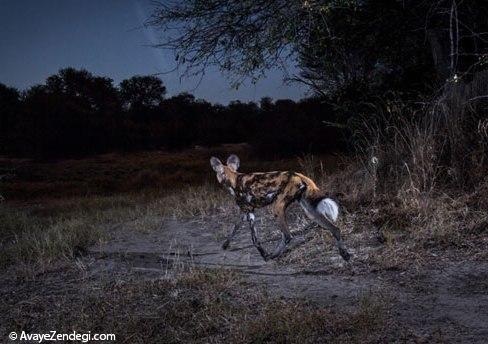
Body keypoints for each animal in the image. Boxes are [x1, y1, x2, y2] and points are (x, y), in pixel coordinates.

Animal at [210, 155, 350, 262]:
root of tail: (298, 175)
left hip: (277, 208)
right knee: (335, 229)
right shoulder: (247, 212)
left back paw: (272, 256)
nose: (221, 180)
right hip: (310, 212)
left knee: (287, 236)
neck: (233, 179)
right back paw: (345, 254)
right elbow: (235, 228)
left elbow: (254, 239)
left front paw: (263, 254)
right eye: (219, 173)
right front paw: (225, 245)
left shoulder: (249, 213)